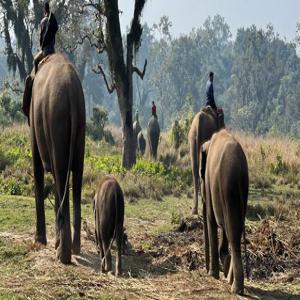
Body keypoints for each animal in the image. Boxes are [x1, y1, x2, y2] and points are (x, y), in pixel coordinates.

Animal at [30, 52, 85, 264]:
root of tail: (71, 91)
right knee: (76, 177)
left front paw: (40, 242)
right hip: (80, 125)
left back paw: (63, 255)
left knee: (60, 174)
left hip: (56, 122)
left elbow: (37, 165)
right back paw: (74, 248)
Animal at [200, 128, 247, 292]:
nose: (204, 269)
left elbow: (211, 219)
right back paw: (232, 280)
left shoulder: (209, 183)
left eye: (201, 175)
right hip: (240, 195)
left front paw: (212, 274)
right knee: (235, 230)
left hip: (228, 189)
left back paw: (236, 288)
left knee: (232, 231)